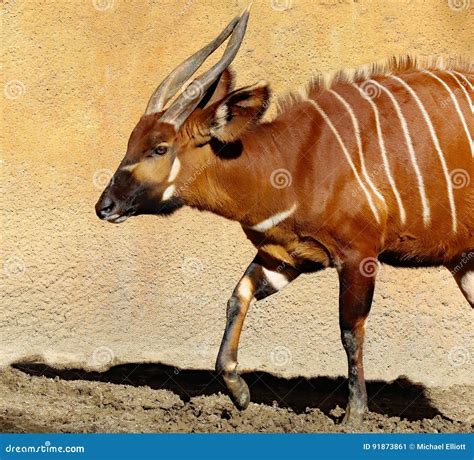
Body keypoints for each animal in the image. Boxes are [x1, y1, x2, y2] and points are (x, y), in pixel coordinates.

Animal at [94, 7, 472, 424]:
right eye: (131, 141)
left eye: (159, 148)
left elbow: (350, 328)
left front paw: (354, 415)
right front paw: (240, 394)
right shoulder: (284, 256)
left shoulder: (359, 255)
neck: (293, 163)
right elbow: (236, 296)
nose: (105, 206)